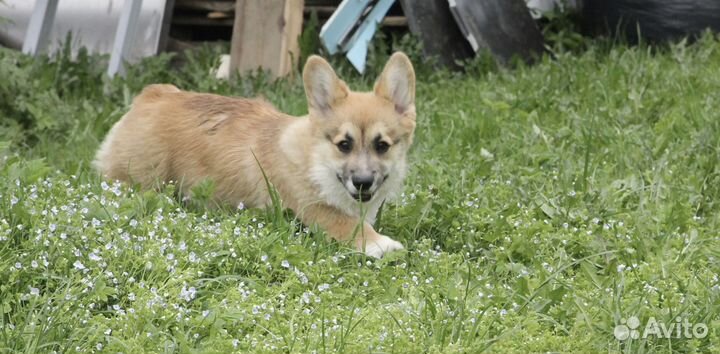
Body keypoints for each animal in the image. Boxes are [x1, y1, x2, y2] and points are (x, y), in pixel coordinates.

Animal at [95, 51, 416, 258]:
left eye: (382, 146)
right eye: (344, 145)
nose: (362, 182)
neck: (316, 164)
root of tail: (154, 95)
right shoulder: (311, 209)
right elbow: (347, 224)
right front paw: (381, 244)